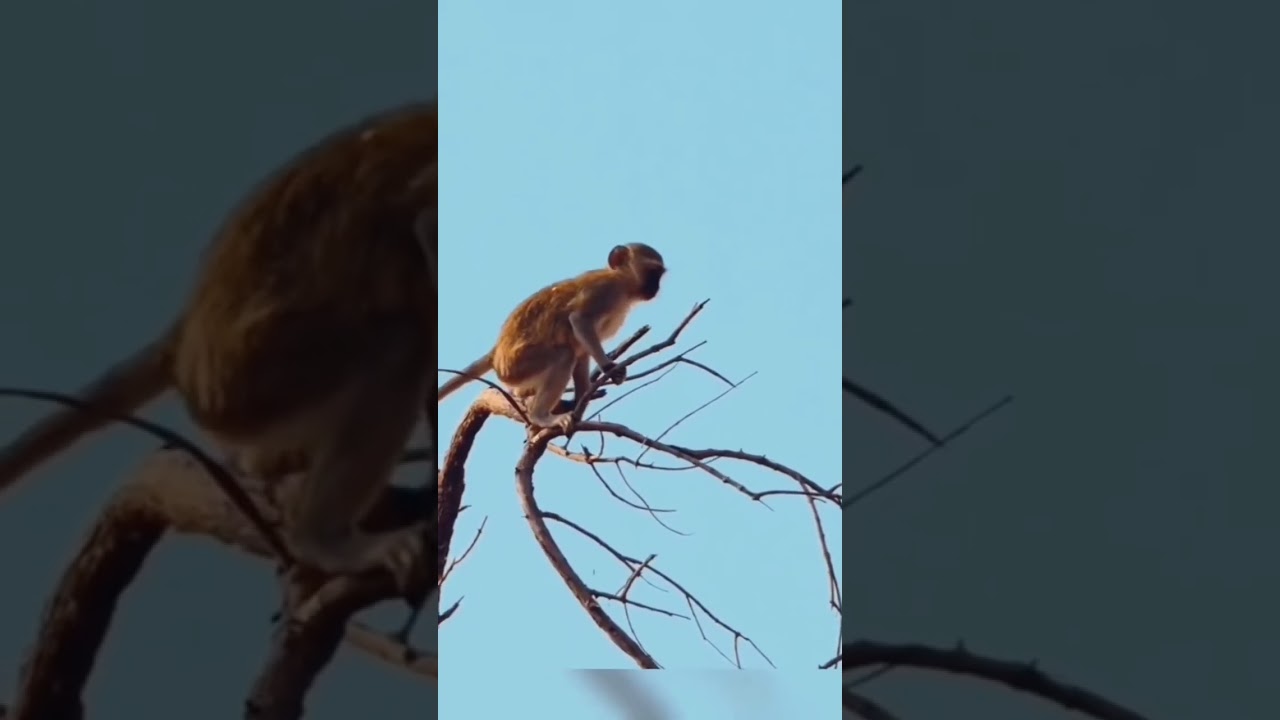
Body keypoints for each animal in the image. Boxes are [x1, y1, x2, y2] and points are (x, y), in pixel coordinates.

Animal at [437, 243, 665, 430]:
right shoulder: (605, 291)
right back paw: (540, 416)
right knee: (564, 356)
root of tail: (496, 352)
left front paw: (581, 401)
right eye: (653, 272)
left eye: (659, 275)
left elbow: (581, 350)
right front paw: (609, 367)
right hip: (516, 366)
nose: (656, 289)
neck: (623, 286)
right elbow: (580, 321)